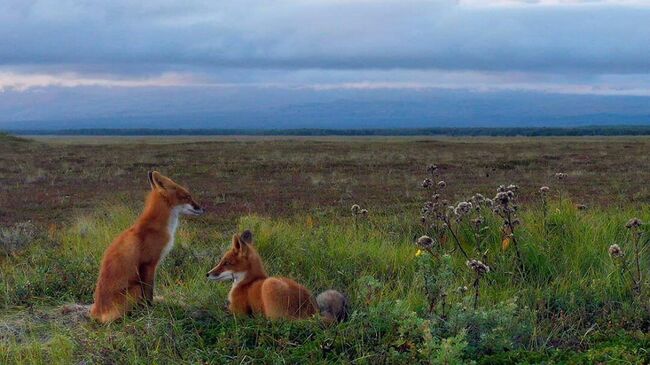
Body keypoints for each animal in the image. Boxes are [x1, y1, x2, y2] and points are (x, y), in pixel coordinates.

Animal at [90, 171, 202, 322]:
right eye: (187, 196)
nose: (202, 208)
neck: (157, 227)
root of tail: (97, 313)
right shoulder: (148, 264)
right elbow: (149, 292)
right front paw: (150, 310)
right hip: (135, 289)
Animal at [208, 230, 350, 322]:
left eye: (226, 263)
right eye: (221, 261)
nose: (207, 274)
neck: (248, 283)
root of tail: (311, 314)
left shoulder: (238, 311)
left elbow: (220, 310)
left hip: (270, 285)